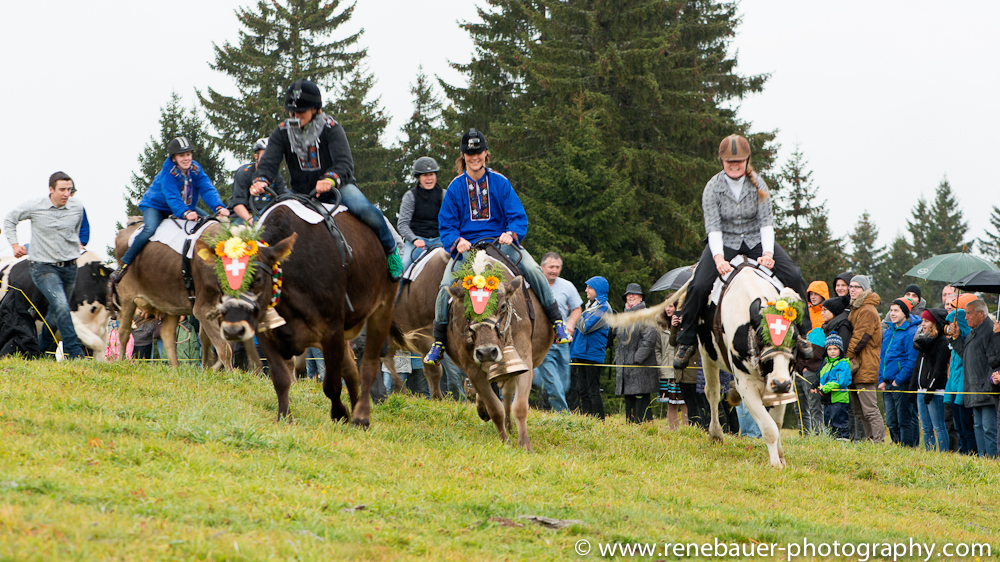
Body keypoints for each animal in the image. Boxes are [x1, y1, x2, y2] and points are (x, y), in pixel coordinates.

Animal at [444, 248, 555, 451]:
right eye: (467, 311)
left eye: (503, 306)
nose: (487, 351)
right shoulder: (472, 368)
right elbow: (495, 409)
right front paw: (504, 442)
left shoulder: (523, 359)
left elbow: (520, 405)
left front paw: (525, 444)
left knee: (507, 393)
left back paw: (509, 426)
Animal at [607, 262, 802, 468]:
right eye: (761, 338)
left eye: (795, 340)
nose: (779, 383)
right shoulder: (746, 384)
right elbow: (769, 427)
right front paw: (776, 464)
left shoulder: (786, 382)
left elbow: (776, 424)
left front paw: (780, 458)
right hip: (706, 355)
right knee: (713, 393)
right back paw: (716, 434)